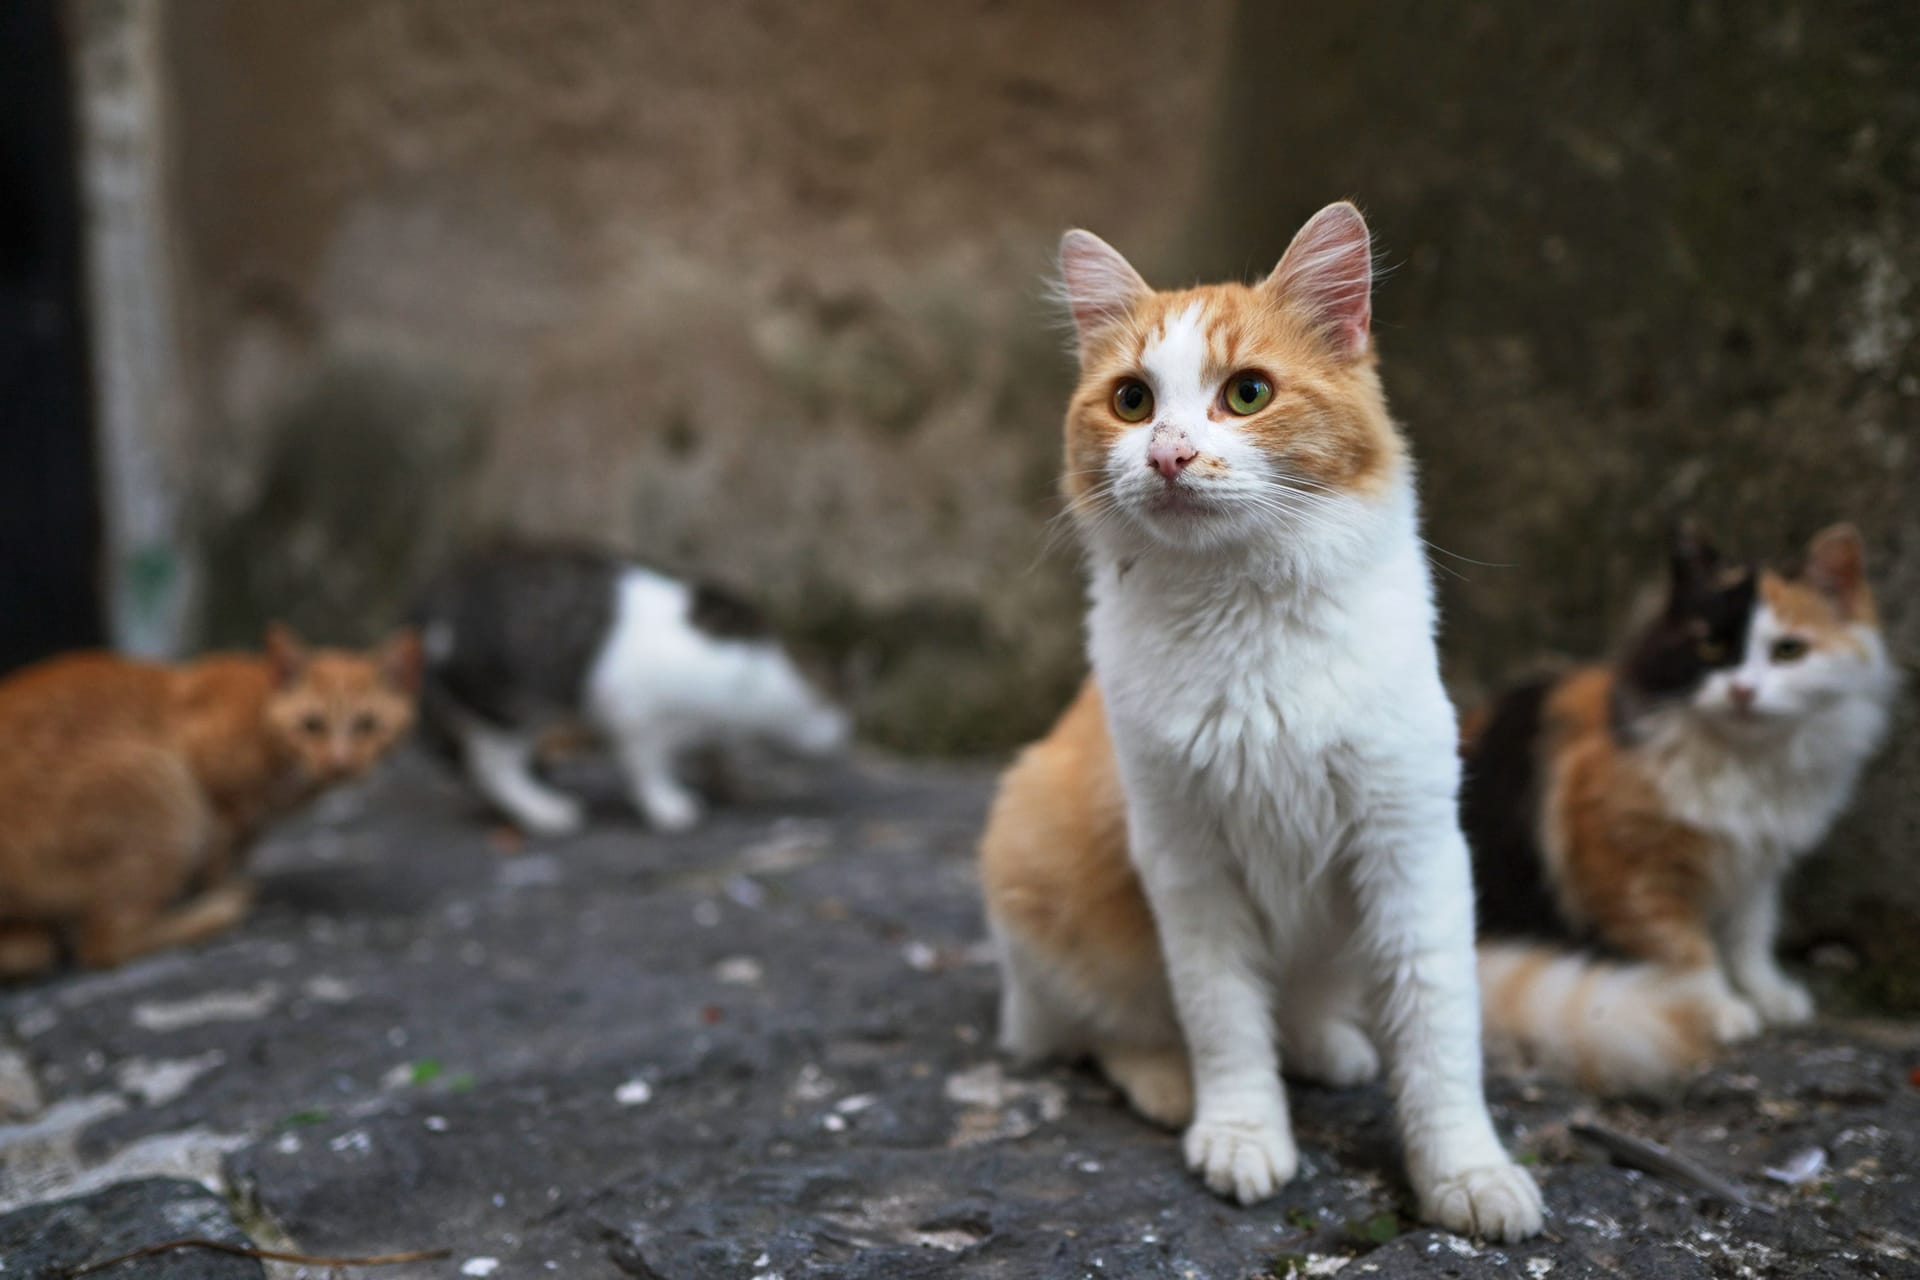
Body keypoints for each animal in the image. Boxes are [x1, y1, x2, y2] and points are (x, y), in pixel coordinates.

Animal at [0, 629, 418, 982]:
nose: (340, 763)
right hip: (167, 791)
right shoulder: (212, 788)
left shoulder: (247, 823)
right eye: (311, 725)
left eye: (367, 725)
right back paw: (215, 910)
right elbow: (219, 857)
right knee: (103, 943)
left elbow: (236, 850)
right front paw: (216, 887)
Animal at [412, 545, 848, 836]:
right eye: (835, 701)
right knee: (491, 767)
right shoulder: (639, 717)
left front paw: (734, 786)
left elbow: (717, 756)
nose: (845, 731)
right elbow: (647, 768)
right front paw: (669, 805)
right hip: (508, 707)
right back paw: (544, 810)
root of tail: (430, 606)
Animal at [975, 208, 1543, 1243]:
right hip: (1038, 885)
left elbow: (1438, 1036)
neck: (1243, 614)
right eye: (1131, 401)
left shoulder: (1412, 849)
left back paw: (1326, 1045)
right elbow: (1224, 1019)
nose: (1168, 454)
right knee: (1097, 1032)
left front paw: (1467, 1173)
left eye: (1247, 394)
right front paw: (1241, 1133)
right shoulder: (1186, 861)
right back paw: (1170, 1086)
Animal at [1459, 521, 1896, 1090]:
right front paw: (1722, 1010)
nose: (1742, 690)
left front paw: (1771, 994)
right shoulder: (1629, 875)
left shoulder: (1757, 866)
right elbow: (1686, 950)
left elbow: (1751, 935)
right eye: (1710, 645)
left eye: (1788, 651)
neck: (1744, 765)